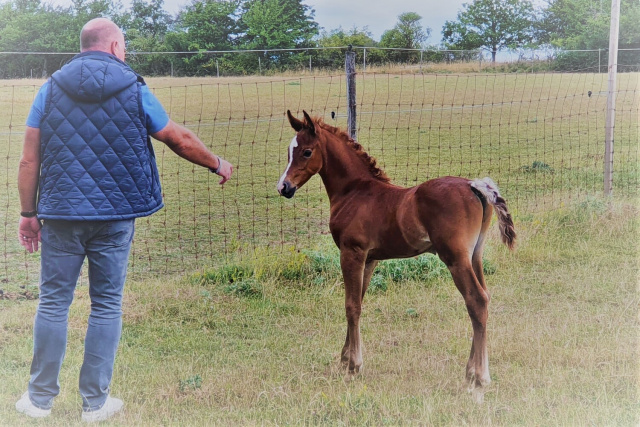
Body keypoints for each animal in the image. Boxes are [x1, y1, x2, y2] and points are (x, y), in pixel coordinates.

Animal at [276, 111, 516, 402]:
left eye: (307, 151)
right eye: (290, 151)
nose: (284, 187)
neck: (354, 191)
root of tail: (474, 186)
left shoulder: (351, 253)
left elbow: (351, 306)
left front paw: (353, 366)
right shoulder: (369, 259)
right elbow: (357, 301)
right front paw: (344, 359)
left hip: (456, 259)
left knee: (476, 301)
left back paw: (478, 378)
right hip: (475, 256)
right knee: (484, 299)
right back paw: (473, 371)